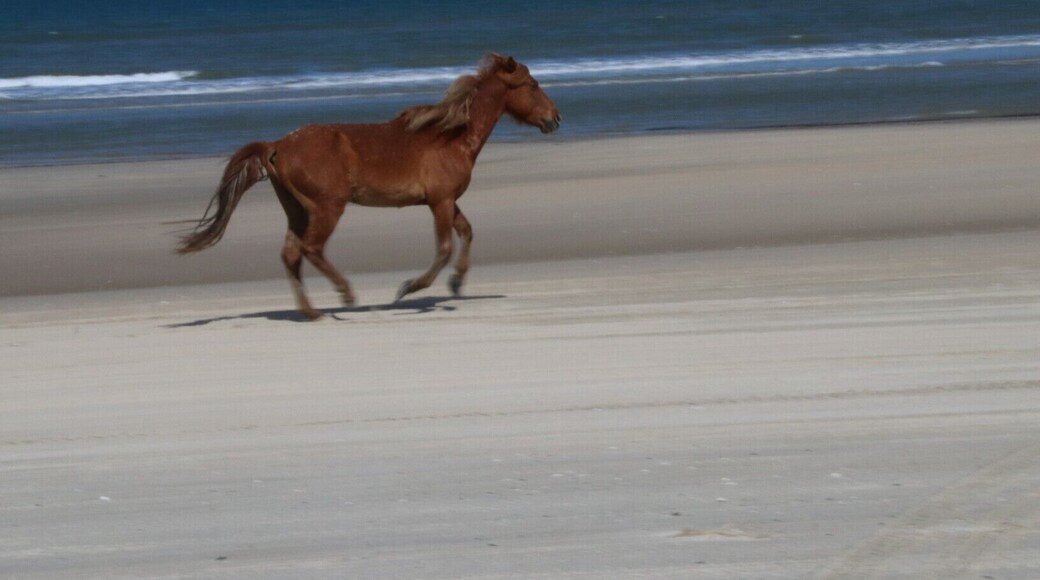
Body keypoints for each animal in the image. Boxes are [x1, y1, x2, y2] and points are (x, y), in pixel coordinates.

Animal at [177, 54, 560, 320]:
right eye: (533, 85)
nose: (555, 118)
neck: (451, 136)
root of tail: (278, 144)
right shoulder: (440, 201)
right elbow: (443, 248)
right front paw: (408, 289)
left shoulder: (447, 200)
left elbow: (466, 233)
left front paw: (456, 283)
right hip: (327, 207)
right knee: (311, 248)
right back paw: (346, 296)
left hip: (296, 209)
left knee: (291, 254)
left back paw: (312, 312)